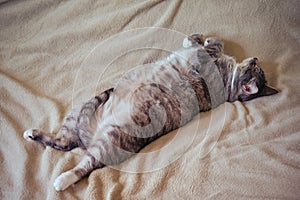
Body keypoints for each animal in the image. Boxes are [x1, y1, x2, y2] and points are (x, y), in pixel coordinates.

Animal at [23, 34, 278, 191]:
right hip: (77, 111)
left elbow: (214, 45)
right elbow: (205, 42)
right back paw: (32, 134)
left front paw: (205, 41)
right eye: (256, 66)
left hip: (109, 141)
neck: (230, 86)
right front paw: (198, 38)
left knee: (84, 163)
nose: (255, 58)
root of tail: (91, 135)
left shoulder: (206, 63)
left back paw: (62, 180)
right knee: (63, 142)